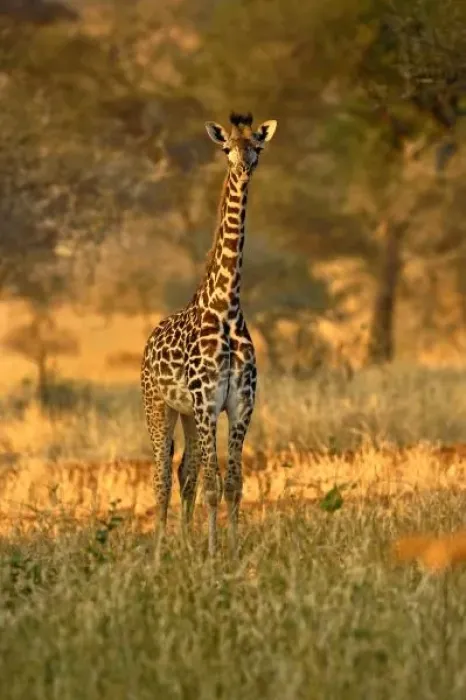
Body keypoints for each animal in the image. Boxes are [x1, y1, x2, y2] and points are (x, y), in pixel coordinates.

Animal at [141, 112, 277, 556]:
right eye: (226, 148)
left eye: (257, 146)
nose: (244, 167)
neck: (226, 306)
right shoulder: (206, 402)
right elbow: (213, 487)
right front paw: (215, 554)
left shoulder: (240, 403)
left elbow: (232, 483)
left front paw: (231, 550)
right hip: (158, 406)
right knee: (161, 475)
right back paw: (160, 552)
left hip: (184, 412)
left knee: (184, 470)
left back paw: (183, 545)